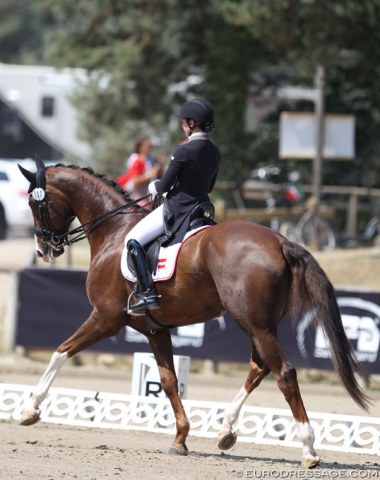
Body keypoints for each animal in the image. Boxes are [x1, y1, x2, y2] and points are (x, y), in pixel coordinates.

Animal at [17, 159, 368, 466]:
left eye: (36, 203)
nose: (42, 250)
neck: (114, 232)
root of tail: (281, 241)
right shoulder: (155, 329)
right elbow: (168, 380)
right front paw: (180, 438)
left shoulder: (105, 318)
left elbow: (60, 351)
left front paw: (30, 410)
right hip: (261, 324)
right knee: (259, 367)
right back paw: (226, 431)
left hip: (254, 324)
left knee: (284, 373)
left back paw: (308, 450)